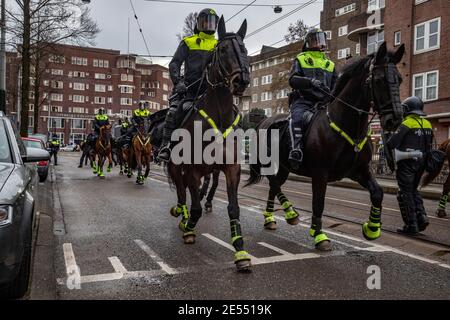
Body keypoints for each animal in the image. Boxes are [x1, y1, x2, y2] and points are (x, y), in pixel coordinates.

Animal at [246, 42, 404, 250]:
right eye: (378, 79)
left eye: (400, 79)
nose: (395, 119)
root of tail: (262, 123)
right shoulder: (320, 174)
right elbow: (318, 203)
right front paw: (319, 235)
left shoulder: (359, 171)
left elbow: (378, 193)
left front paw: (372, 228)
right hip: (270, 165)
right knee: (274, 184)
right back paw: (290, 213)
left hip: (284, 168)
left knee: (274, 186)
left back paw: (271, 218)